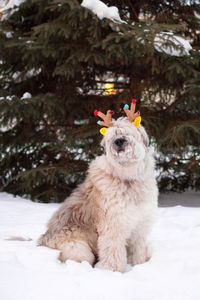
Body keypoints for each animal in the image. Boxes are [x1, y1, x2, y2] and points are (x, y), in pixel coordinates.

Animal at [38, 116, 158, 272]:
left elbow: (138, 252)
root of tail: (41, 241)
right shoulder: (113, 228)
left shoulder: (140, 227)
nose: (119, 141)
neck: (127, 178)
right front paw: (114, 272)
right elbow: (114, 256)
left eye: (126, 132)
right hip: (78, 248)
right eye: (112, 135)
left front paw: (139, 265)